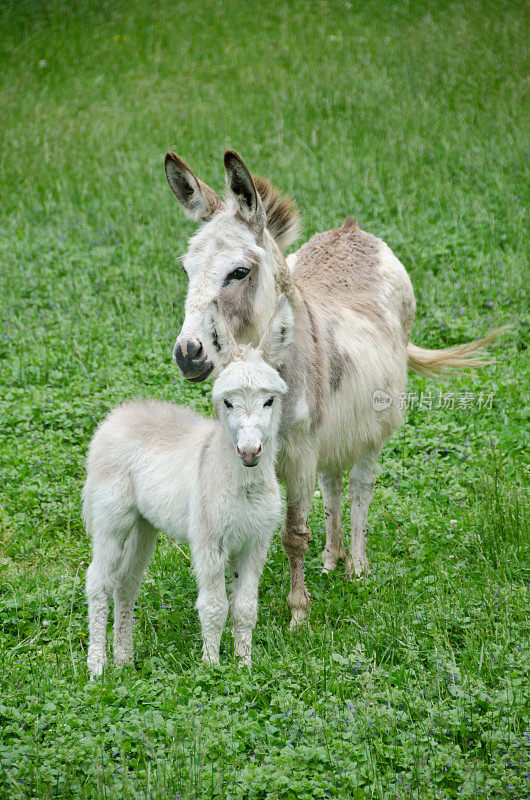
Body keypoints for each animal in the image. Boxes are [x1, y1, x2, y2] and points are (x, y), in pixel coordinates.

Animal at [84, 296, 290, 676]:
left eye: (269, 401)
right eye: (228, 402)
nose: (250, 451)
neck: (242, 486)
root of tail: (118, 415)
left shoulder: (255, 543)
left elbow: (245, 609)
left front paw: (244, 666)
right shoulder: (209, 542)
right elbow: (214, 606)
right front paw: (211, 668)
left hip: (144, 525)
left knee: (125, 583)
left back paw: (124, 660)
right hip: (111, 519)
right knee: (99, 584)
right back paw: (97, 669)